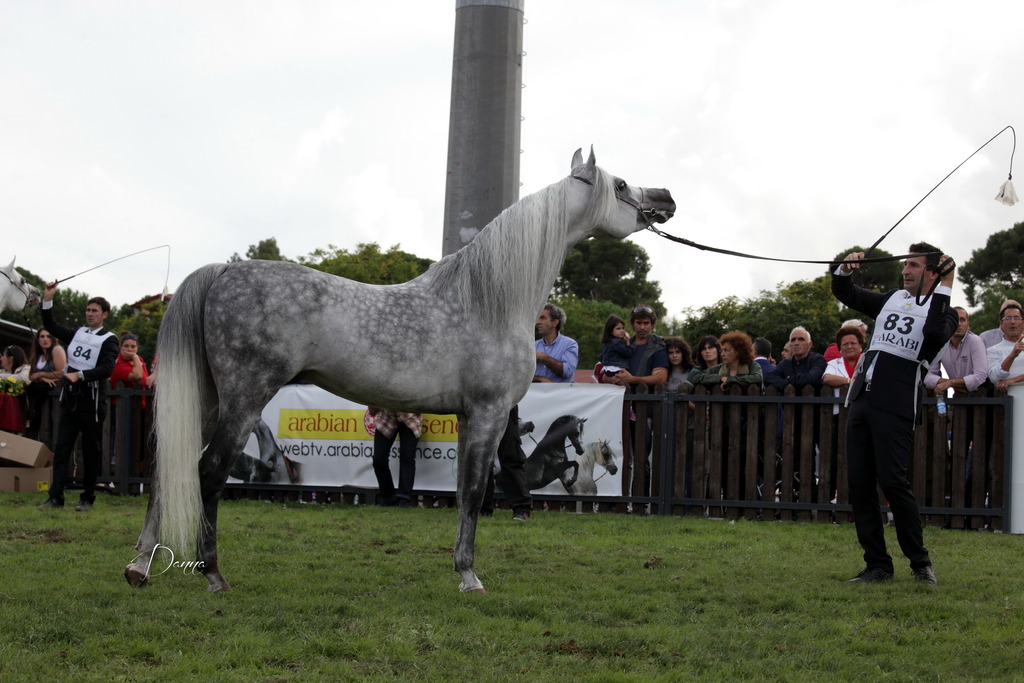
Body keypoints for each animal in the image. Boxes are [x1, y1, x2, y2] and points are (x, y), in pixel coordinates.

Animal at [124, 147, 675, 594]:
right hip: (244, 397)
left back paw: (139, 567)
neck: (488, 302)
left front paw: (462, 569)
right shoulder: (490, 412)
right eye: (621, 185)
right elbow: (474, 492)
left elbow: (466, 489)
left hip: (207, 399)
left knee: (168, 468)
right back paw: (213, 575)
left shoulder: (472, 417)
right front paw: (469, 577)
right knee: (207, 473)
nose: (666, 197)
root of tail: (222, 271)